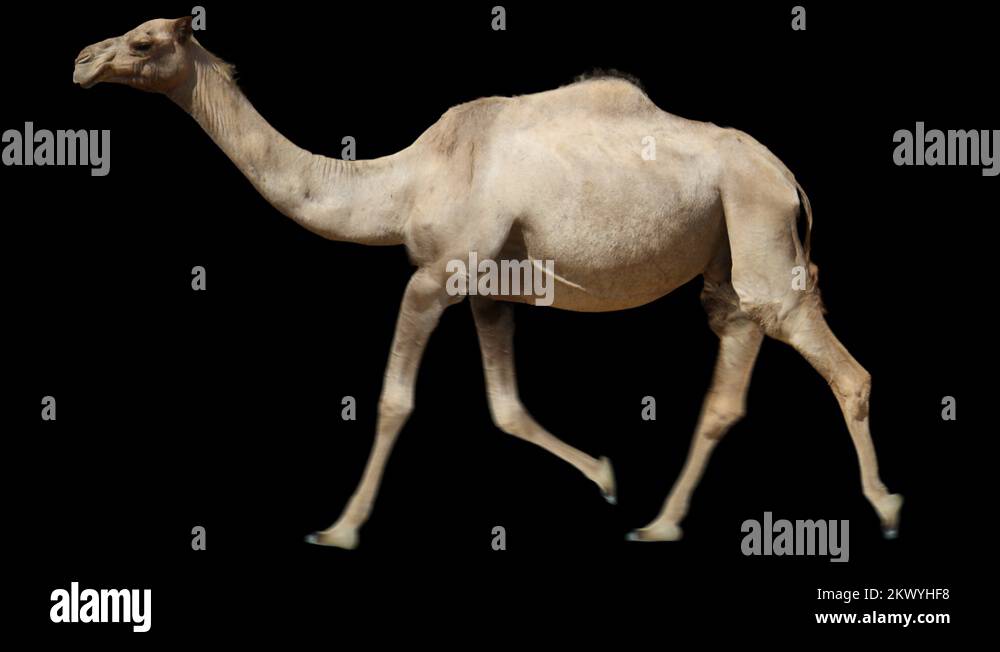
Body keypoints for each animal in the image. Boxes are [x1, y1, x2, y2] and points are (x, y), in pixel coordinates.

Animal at [74, 17, 903, 549]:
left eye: (144, 41)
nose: (84, 59)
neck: (402, 181)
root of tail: (789, 179)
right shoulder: (490, 291)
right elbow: (506, 408)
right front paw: (605, 475)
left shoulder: (435, 277)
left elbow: (395, 400)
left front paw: (339, 528)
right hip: (729, 253)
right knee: (730, 364)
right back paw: (659, 522)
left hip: (758, 224)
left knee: (840, 365)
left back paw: (887, 508)